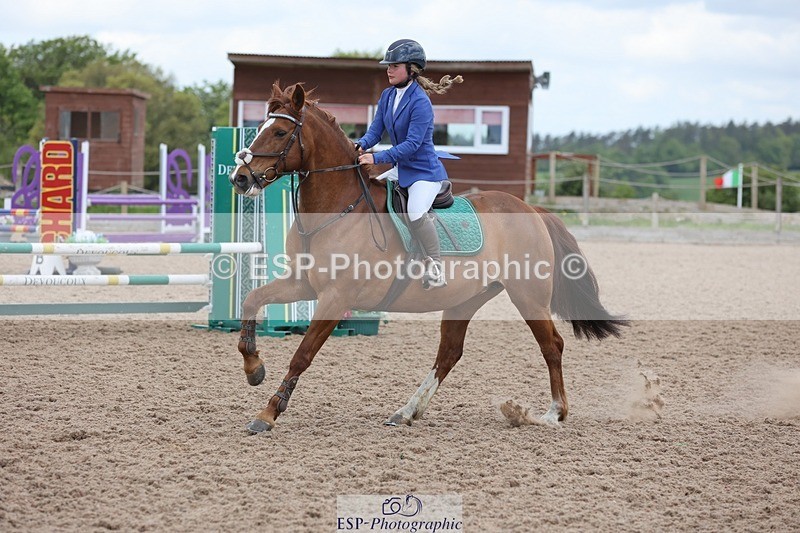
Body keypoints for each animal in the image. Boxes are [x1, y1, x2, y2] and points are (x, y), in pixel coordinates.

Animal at [229, 82, 627, 434]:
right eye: (259, 128)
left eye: (280, 132)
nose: (240, 178)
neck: (337, 209)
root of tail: (530, 208)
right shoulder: (303, 284)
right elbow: (252, 300)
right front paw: (253, 368)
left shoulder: (336, 298)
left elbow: (302, 354)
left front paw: (267, 413)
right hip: (466, 299)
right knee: (449, 353)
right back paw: (406, 411)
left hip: (527, 295)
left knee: (551, 346)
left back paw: (554, 413)